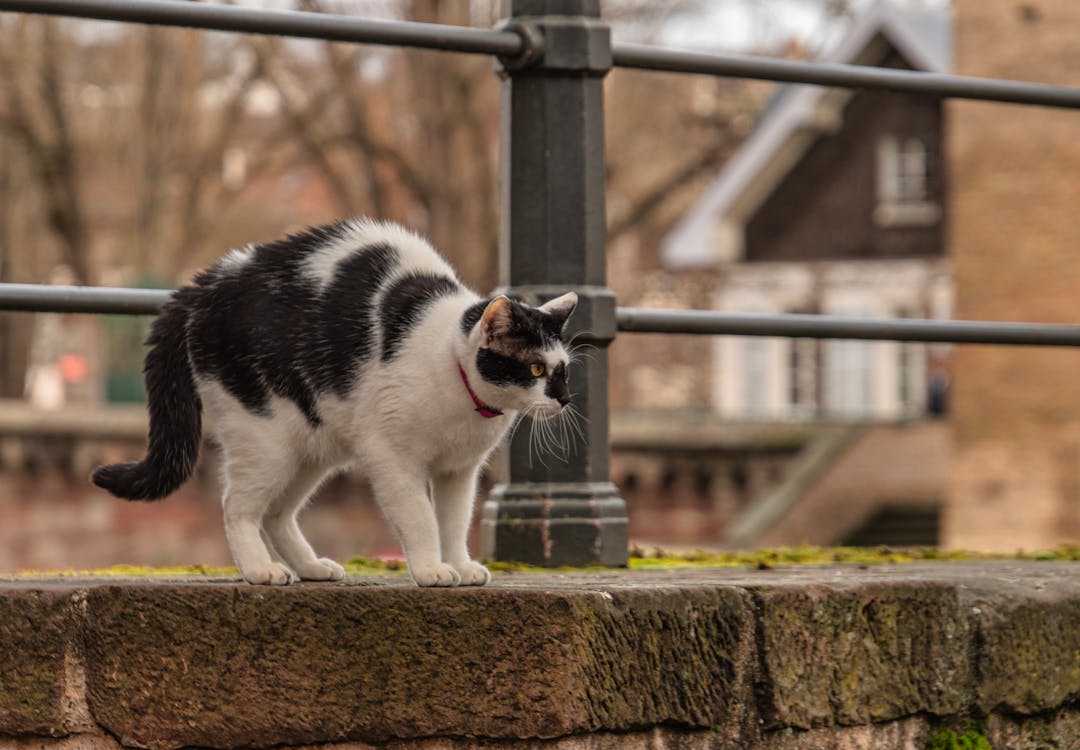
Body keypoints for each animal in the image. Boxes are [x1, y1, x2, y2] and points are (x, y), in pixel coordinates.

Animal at [92, 220, 578, 592]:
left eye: (563, 371)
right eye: (536, 369)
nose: (564, 399)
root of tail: (205, 286)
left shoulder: (459, 471)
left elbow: (455, 521)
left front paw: (459, 564)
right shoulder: (392, 457)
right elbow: (421, 518)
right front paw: (431, 570)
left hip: (311, 448)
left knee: (277, 512)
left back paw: (310, 567)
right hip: (265, 440)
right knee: (236, 505)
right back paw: (260, 569)